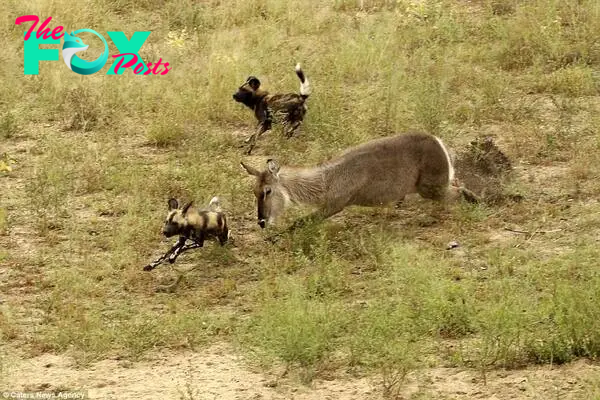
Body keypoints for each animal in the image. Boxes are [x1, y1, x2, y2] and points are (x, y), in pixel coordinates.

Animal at [239, 133, 478, 230]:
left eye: (267, 191)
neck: (326, 180)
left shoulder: (335, 205)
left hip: (430, 188)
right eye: (254, 191)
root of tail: (437, 141)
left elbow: (301, 222)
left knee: (460, 192)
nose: (261, 222)